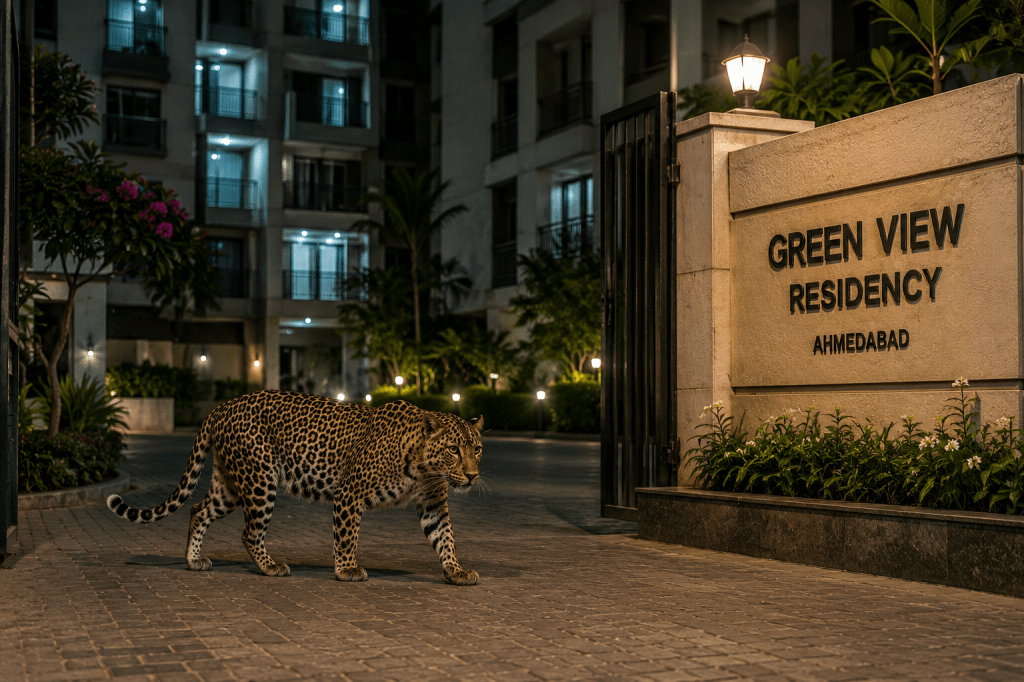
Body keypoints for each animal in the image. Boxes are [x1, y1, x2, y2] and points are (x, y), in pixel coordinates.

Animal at [107, 390, 484, 585]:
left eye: (477, 449)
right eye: (454, 449)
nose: (472, 476)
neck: (425, 468)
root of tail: (221, 407)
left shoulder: (433, 504)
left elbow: (445, 537)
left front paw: (455, 570)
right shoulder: (350, 494)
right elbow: (347, 536)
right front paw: (346, 569)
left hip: (229, 484)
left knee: (199, 510)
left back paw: (194, 560)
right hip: (260, 479)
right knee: (249, 532)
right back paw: (270, 567)